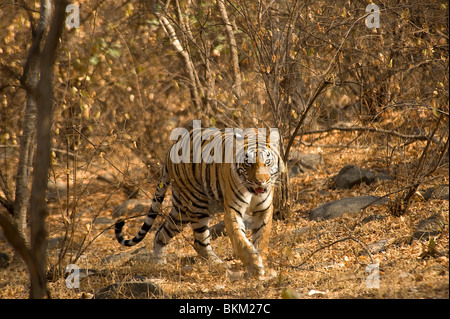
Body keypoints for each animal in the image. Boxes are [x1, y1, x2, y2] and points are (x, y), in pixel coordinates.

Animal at [116, 122, 284, 278]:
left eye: (267, 162)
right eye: (249, 163)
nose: (260, 182)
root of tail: (171, 148)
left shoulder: (264, 210)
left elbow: (261, 238)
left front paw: (261, 262)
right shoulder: (232, 209)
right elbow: (240, 240)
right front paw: (255, 266)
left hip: (180, 211)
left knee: (161, 232)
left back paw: (159, 263)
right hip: (196, 204)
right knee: (200, 241)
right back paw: (218, 264)